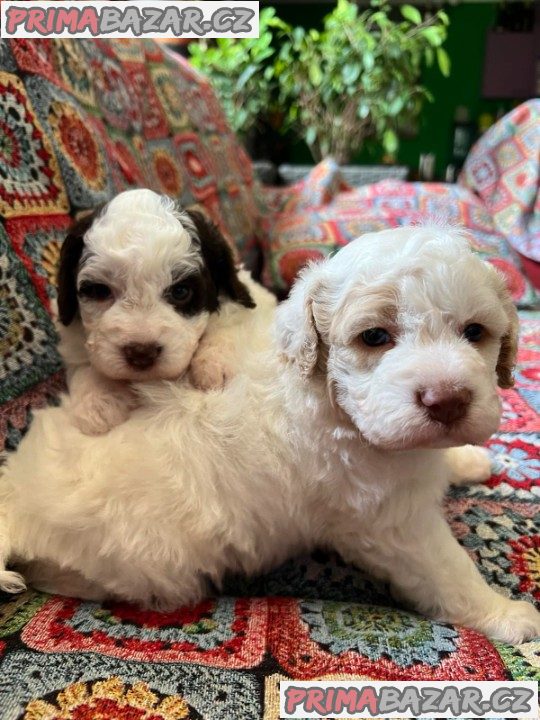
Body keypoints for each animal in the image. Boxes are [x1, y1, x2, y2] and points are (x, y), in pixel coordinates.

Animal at [2, 224, 536, 640]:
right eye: (375, 337)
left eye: (474, 332)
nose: (447, 400)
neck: (327, 396)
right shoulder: (391, 524)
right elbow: (448, 571)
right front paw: (506, 615)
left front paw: (467, 459)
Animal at [57, 188, 258, 434]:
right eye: (99, 291)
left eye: (181, 291)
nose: (141, 353)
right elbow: (81, 356)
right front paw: (99, 397)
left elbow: (230, 319)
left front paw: (214, 363)